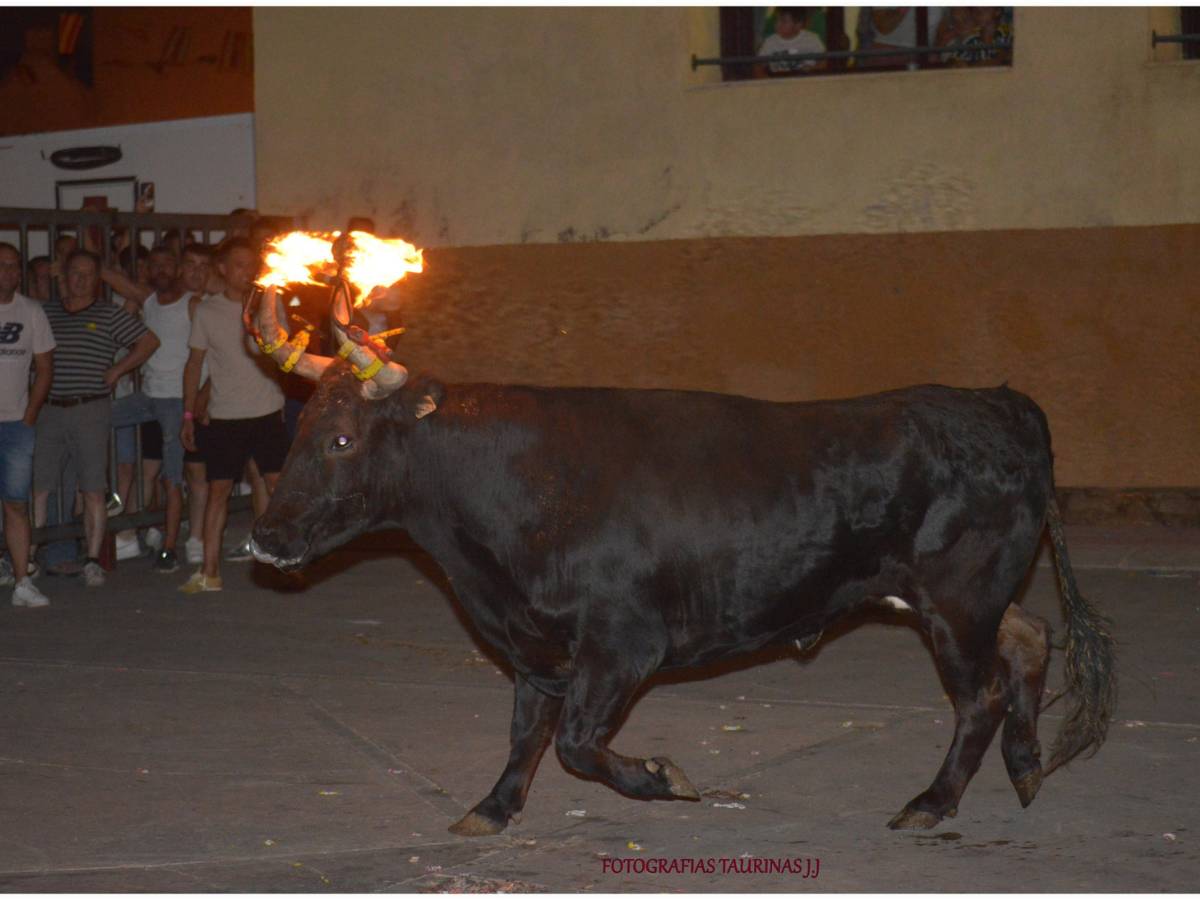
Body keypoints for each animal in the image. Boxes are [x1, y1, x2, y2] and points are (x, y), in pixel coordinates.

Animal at [250, 374, 1113, 840]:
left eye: (340, 440)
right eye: (300, 432)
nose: (263, 537)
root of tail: (998, 403)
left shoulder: (623, 644)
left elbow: (576, 744)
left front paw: (665, 778)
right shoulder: (537, 647)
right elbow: (527, 734)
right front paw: (491, 809)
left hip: (956, 602)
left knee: (981, 693)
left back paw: (932, 803)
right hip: (966, 599)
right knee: (1031, 637)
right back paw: (1026, 768)